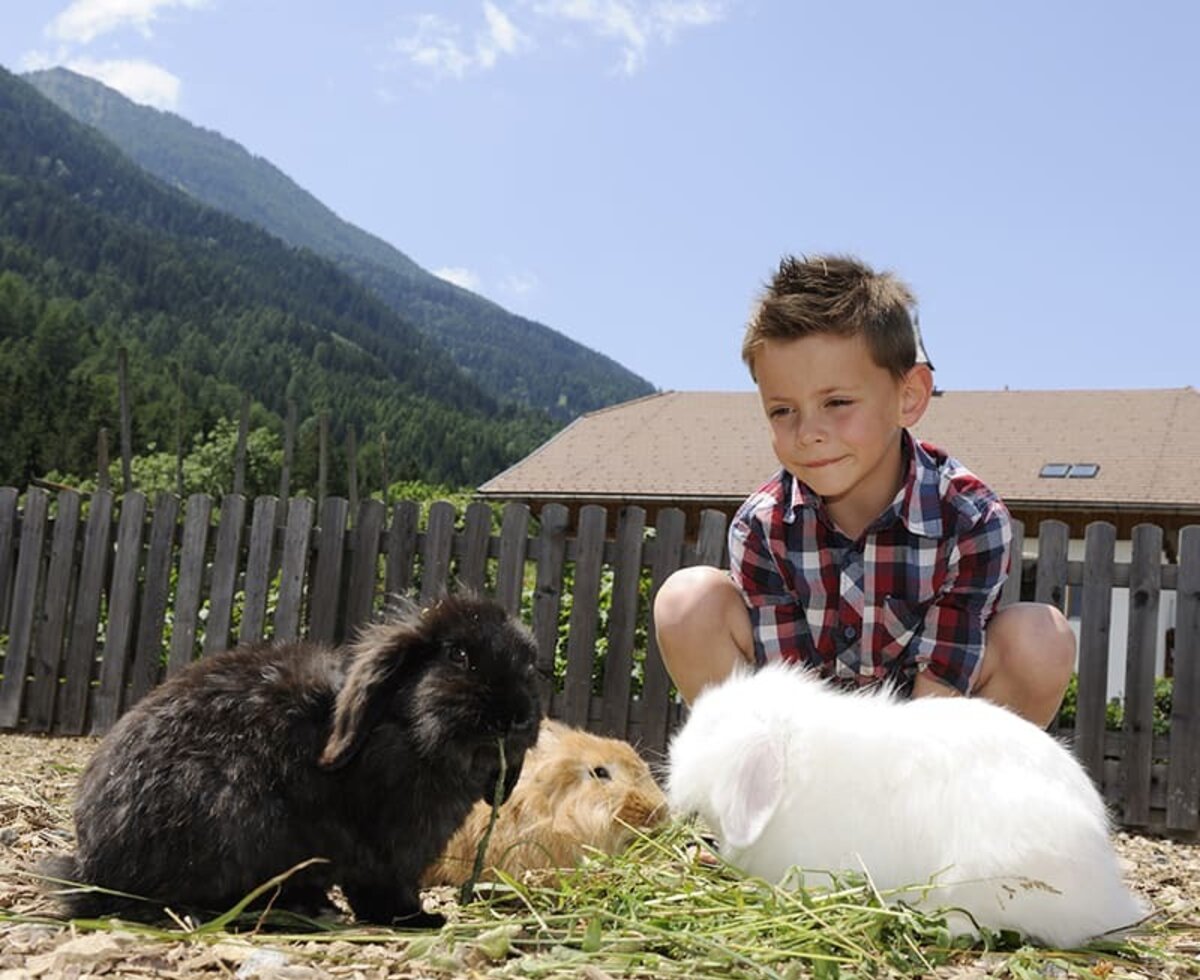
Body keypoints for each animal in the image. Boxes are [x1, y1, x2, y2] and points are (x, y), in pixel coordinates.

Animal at [42, 587, 540, 926]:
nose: (514, 716)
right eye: (457, 655)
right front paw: (419, 921)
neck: (402, 731)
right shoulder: (384, 849)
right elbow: (383, 890)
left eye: (530, 666)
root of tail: (92, 867)